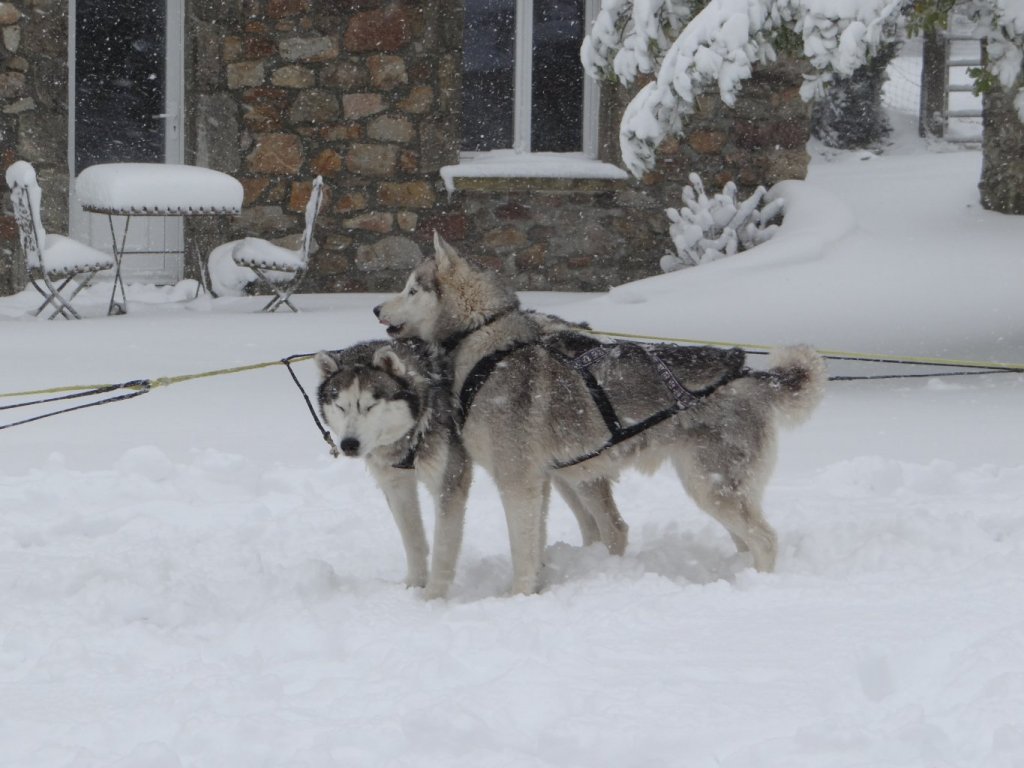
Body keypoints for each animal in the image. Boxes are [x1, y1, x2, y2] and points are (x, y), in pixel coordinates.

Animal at [316, 337, 628, 599]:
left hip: (574, 469)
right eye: (340, 406)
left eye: (370, 405)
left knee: (614, 525)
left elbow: (443, 547)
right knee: (590, 524)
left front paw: (432, 597)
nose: (349, 444)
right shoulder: (395, 485)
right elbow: (413, 540)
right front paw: (413, 585)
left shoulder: (449, 482)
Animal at [374, 232, 827, 595]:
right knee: (744, 538)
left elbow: (522, 550)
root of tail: (753, 376)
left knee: (765, 539)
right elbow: (534, 545)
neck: (485, 344)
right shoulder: (541, 482)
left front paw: (516, 597)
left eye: (412, 289)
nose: (377, 310)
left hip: (710, 484)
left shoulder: (517, 480)